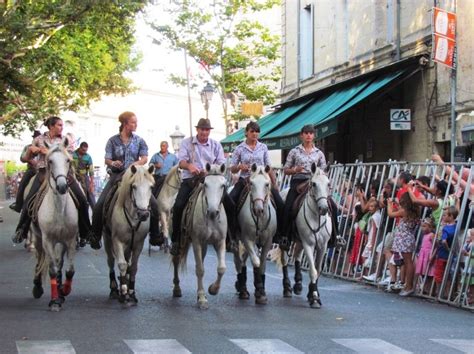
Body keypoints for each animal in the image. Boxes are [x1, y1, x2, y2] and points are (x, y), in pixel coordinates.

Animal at [31, 140, 78, 312]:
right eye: (50, 161)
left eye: (68, 160)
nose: (62, 186)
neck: (59, 210)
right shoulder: (48, 241)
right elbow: (52, 269)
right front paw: (54, 301)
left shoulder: (70, 240)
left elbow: (69, 270)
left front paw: (64, 290)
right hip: (38, 239)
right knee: (40, 258)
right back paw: (38, 287)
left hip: (61, 242)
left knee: (59, 262)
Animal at [103, 164, 156, 304]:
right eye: (134, 186)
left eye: (151, 187)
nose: (143, 214)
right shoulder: (117, 241)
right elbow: (122, 264)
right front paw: (123, 292)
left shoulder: (138, 244)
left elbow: (133, 267)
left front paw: (131, 292)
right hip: (107, 239)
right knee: (111, 261)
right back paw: (114, 289)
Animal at [172, 164, 228, 310]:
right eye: (206, 184)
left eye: (223, 185)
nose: (213, 212)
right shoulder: (196, 242)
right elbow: (200, 270)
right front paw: (202, 298)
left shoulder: (220, 242)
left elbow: (221, 268)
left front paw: (213, 289)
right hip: (180, 241)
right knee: (176, 259)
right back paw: (177, 289)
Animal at [234, 163, 278, 304]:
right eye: (251, 183)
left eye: (267, 184)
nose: (259, 209)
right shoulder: (247, 239)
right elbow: (256, 262)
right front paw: (258, 289)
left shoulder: (268, 241)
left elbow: (262, 264)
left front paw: (261, 292)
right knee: (238, 261)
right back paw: (242, 288)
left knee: (243, 260)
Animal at [274, 163, 330, 306]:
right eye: (314, 184)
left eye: (328, 184)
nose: (324, 208)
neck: (316, 218)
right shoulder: (308, 244)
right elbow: (313, 271)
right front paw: (314, 297)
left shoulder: (322, 246)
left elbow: (318, 269)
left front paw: (313, 293)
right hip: (287, 240)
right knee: (284, 260)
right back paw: (287, 287)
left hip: (299, 240)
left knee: (297, 256)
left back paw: (298, 284)